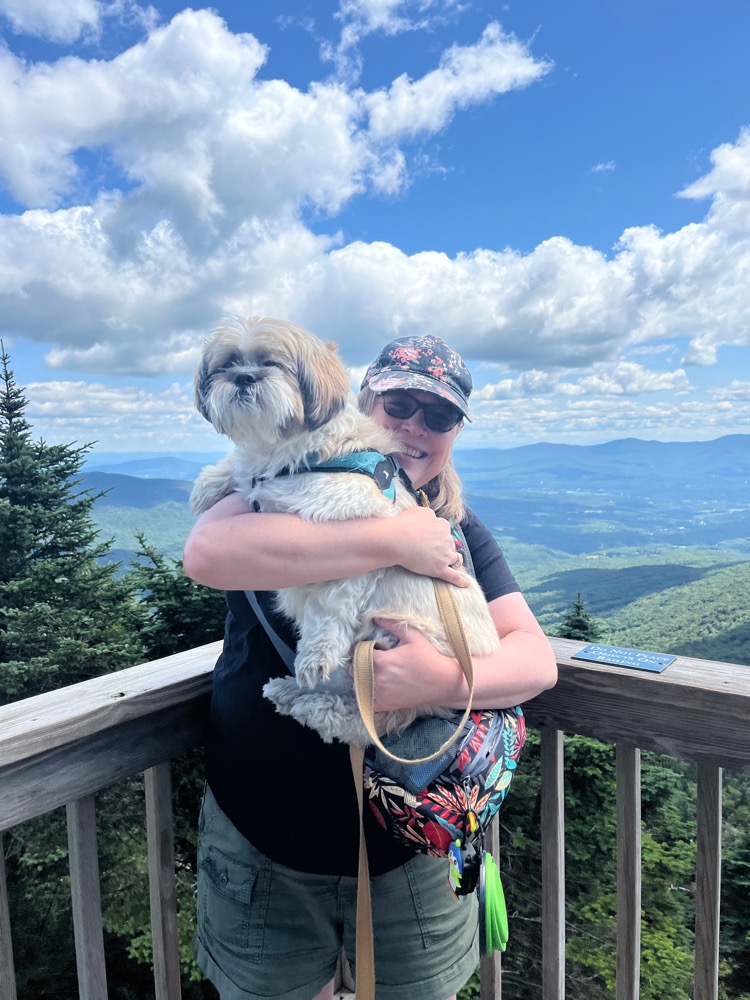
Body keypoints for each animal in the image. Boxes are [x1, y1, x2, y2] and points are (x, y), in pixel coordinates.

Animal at [191, 316, 502, 748]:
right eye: (227, 363)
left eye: (273, 362)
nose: (244, 376)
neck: (293, 455)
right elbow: (240, 472)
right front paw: (210, 484)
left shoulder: (354, 528)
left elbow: (330, 607)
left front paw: (315, 656)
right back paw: (292, 693)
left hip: (389, 639)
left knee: (366, 717)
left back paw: (308, 702)